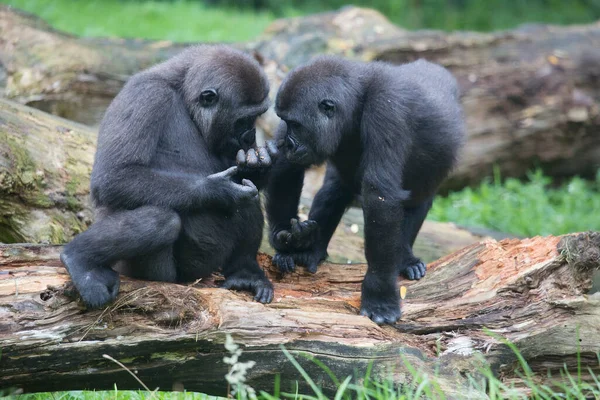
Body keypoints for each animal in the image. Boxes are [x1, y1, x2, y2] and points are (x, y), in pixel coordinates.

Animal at [61, 45, 276, 308]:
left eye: (257, 117)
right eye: (243, 119)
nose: (250, 135)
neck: (183, 93)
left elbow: (247, 180)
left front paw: (257, 167)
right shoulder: (147, 95)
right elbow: (115, 177)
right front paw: (219, 190)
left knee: (249, 202)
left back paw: (244, 272)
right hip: (158, 274)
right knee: (162, 221)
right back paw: (80, 260)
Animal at [264, 57, 466, 324]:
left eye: (295, 125)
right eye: (285, 122)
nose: (287, 143)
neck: (357, 101)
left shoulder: (386, 110)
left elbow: (380, 197)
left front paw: (379, 296)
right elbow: (285, 169)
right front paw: (285, 239)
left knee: (417, 203)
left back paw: (405, 258)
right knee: (333, 192)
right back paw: (309, 250)